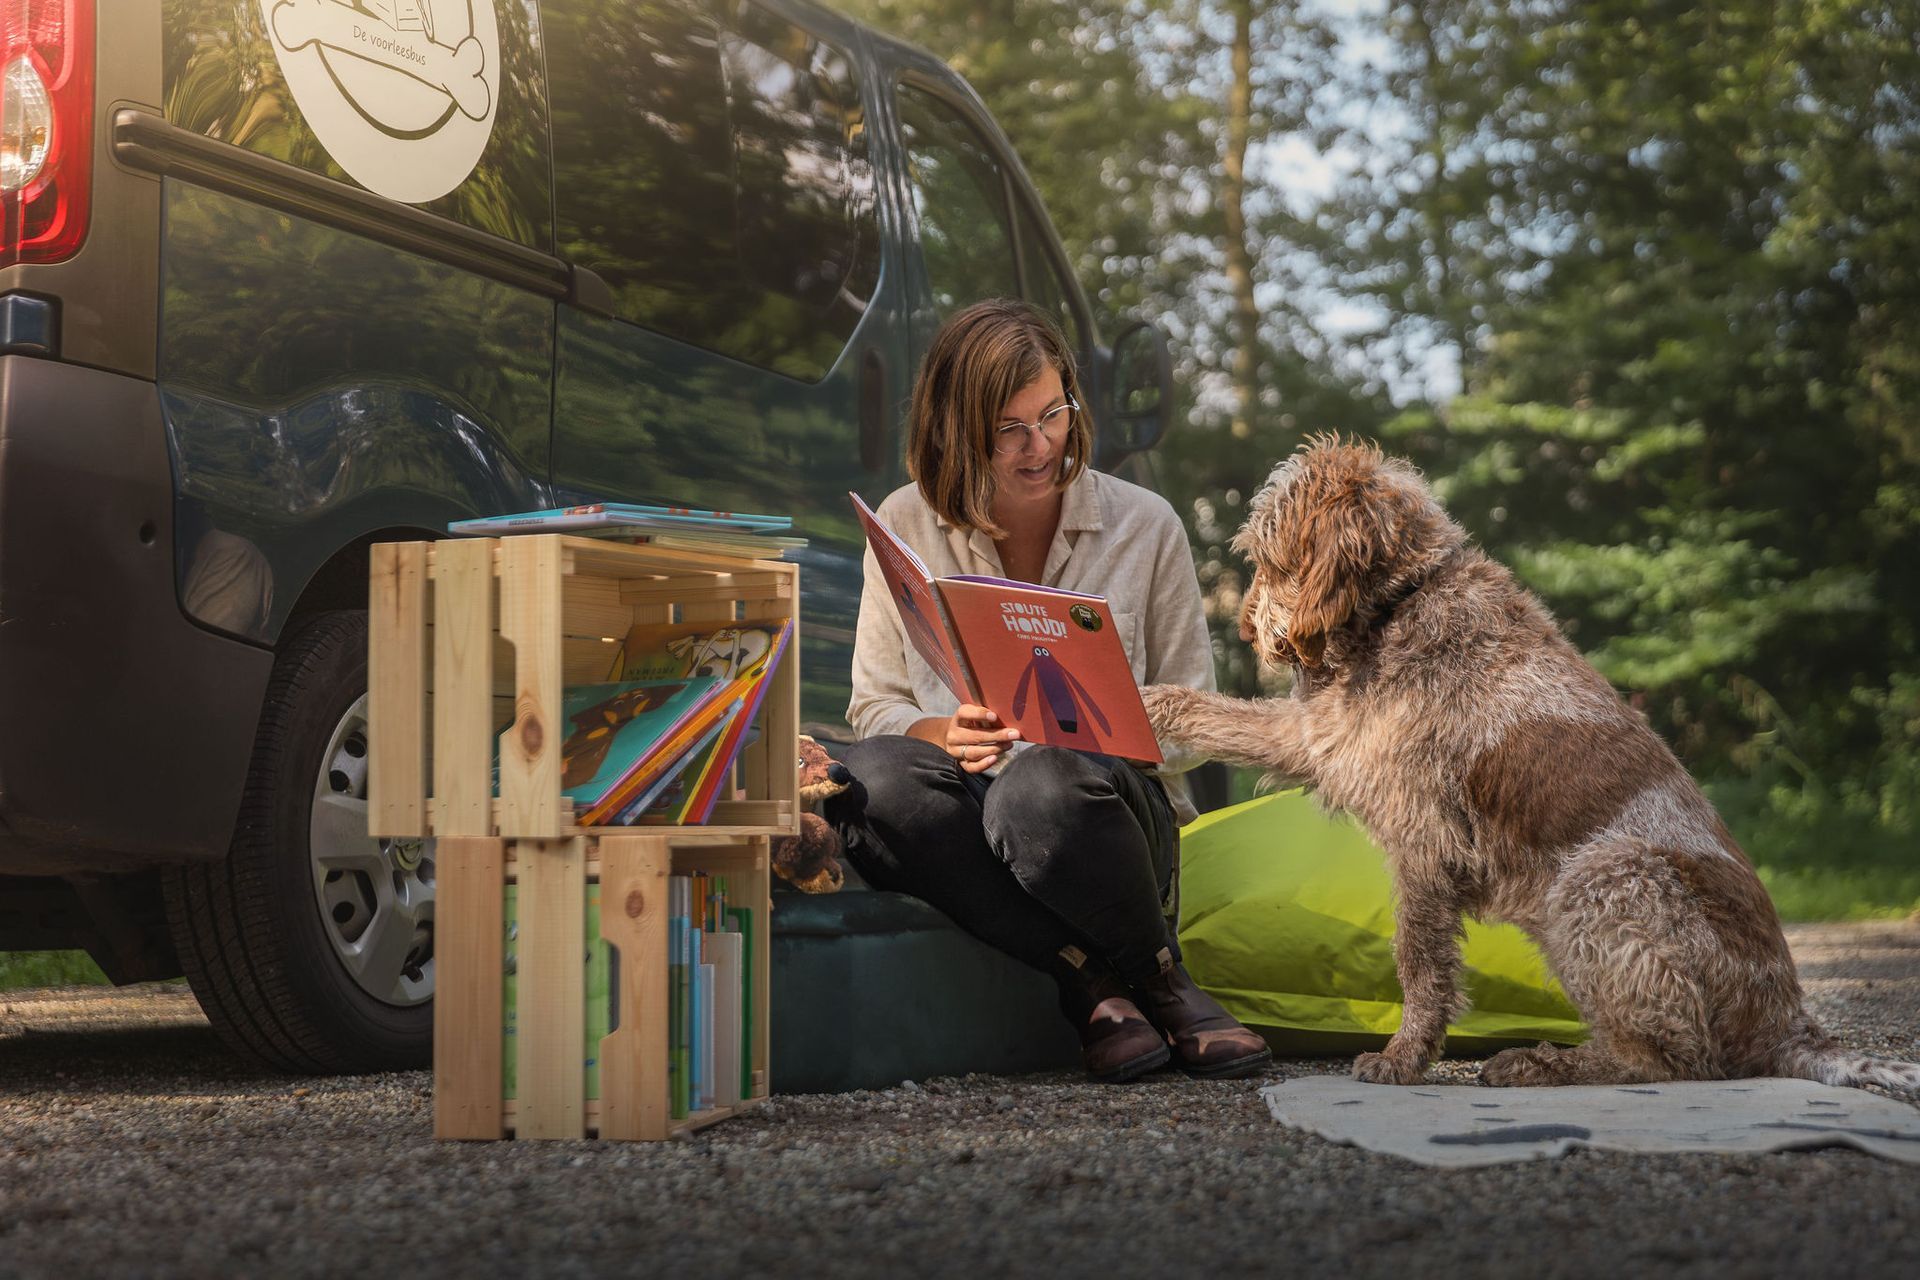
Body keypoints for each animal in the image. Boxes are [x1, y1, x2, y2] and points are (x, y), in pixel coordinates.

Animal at [1136, 437, 1920, 1090]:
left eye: (1268, 557)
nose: (1245, 625)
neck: (1403, 601)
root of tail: (1790, 1026)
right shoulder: (1326, 739)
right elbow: (1221, 716)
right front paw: (1146, 704)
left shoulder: (1422, 841)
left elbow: (1420, 966)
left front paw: (1402, 1058)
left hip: (1601, 878)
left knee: (1676, 1060)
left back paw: (1541, 1064)